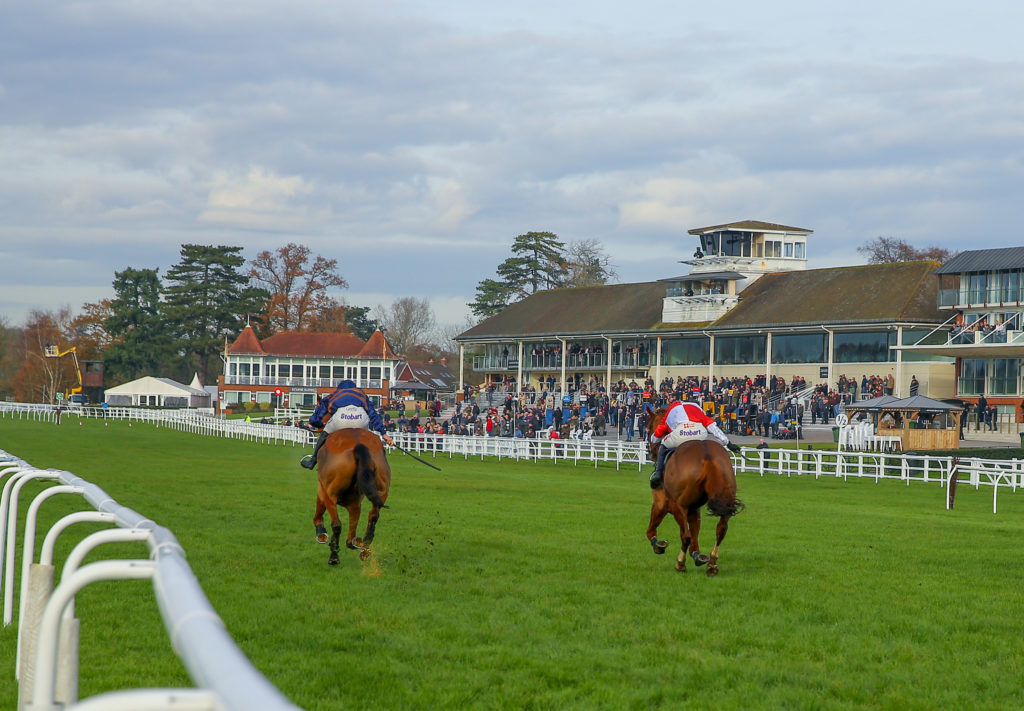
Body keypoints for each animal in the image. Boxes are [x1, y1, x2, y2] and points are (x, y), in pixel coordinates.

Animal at [309, 428, 389, 569]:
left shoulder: (323, 488)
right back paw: (365, 549)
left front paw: (321, 532)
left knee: (336, 524)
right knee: (373, 516)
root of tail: (358, 445)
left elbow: (320, 509)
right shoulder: (355, 504)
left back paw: (334, 557)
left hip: (330, 493)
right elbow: (352, 529)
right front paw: (355, 542)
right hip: (382, 489)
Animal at [643, 409, 741, 577]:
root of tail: (708, 457)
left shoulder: (661, 504)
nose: (651, 452)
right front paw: (697, 555)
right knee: (721, 530)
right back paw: (712, 563)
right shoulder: (694, 508)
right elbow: (695, 533)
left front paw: (658, 544)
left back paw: (680, 563)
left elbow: (651, 531)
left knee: (685, 536)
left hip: (679, 506)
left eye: (649, 428)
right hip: (726, 500)